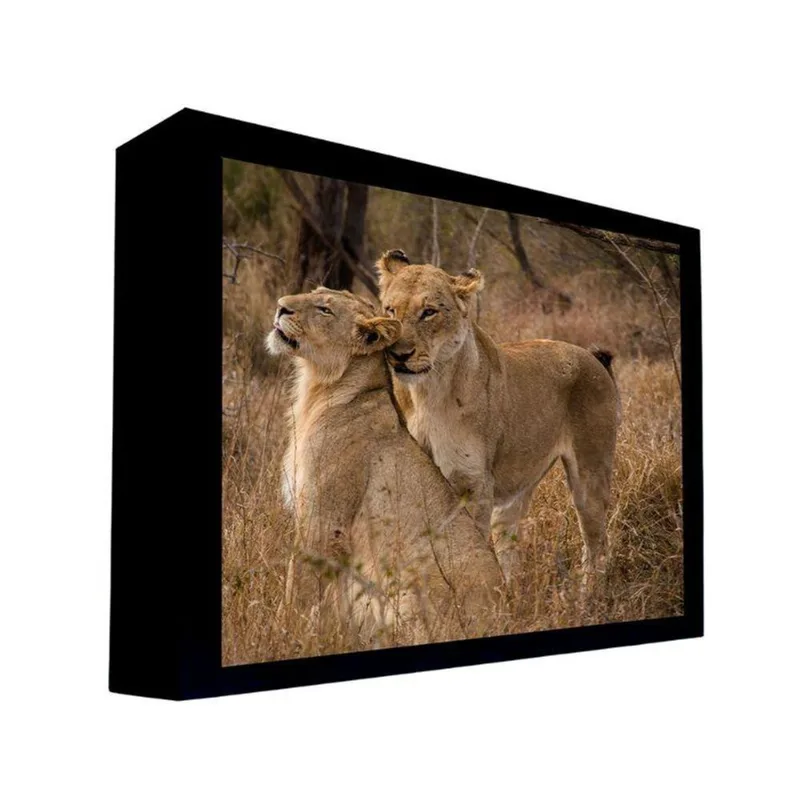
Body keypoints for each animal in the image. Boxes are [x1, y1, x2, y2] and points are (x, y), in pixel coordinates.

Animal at [266, 287, 504, 647]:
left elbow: (300, 584)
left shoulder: (324, 520)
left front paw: (284, 632)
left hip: (409, 581)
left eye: (324, 310)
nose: (281, 307)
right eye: (316, 292)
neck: (318, 391)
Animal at [376, 249, 620, 594]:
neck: (427, 394)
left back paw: (588, 597)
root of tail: (591, 357)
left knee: (597, 544)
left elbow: (469, 551)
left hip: (590, 477)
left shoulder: (473, 484)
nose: (398, 355)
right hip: (516, 492)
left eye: (429, 312)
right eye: (390, 310)